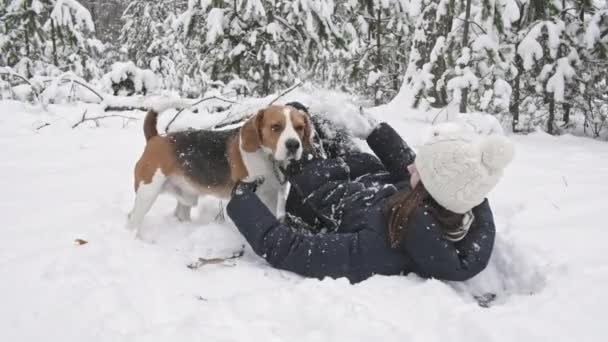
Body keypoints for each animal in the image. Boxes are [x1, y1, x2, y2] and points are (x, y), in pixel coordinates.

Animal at [126, 104, 312, 235]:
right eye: (276, 127)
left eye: (300, 127)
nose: (293, 145)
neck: (267, 158)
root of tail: (156, 138)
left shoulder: (272, 196)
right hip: (148, 192)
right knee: (132, 219)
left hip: (186, 198)